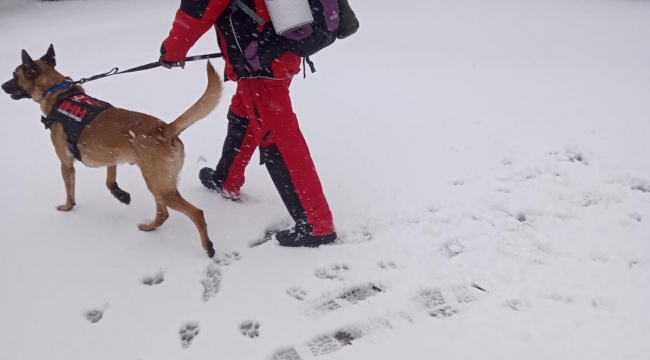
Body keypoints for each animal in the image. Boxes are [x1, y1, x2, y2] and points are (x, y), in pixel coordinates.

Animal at [1, 45, 223, 258]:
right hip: (158, 185)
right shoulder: (110, 155)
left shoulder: (66, 164)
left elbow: (70, 192)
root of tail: (164, 129)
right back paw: (149, 227)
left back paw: (208, 246)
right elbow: (110, 181)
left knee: (196, 212)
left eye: (14, 74)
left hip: (160, 187)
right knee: (163, 214)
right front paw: (120, 194)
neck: (58, 93)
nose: (2, 86)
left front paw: (67, 207)